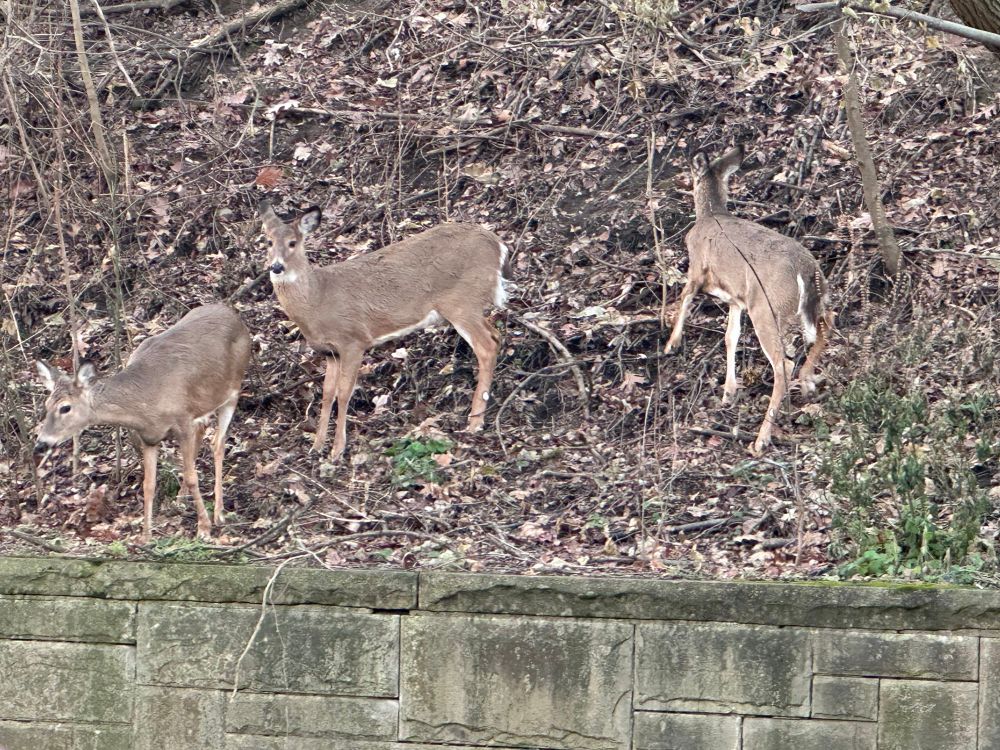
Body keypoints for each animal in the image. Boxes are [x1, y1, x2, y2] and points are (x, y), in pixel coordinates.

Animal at [33, 303, 252, 542]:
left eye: (65, 407)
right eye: (46, 404)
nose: (41, 443)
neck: (146, 401)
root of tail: (233, 315)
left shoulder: (183, 421)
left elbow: (192, 476)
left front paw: (203, 527)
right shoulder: (150, 437)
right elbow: (149, 484)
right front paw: (146, 536)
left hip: (232, 392)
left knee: (218, 445)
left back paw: (219, 513)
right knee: (204, 434)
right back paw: (181, 498)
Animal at [258, 201, 511, 458]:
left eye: (293, 242)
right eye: (268, 241)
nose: (276, 267)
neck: (317, 300)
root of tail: (498, 245)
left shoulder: (353, 339)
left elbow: (344, 392)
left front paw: (338, 449)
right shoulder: (330, 352)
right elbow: (327, 393)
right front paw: (317, 446)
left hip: (461, 302)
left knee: (487, 346)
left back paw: (475, 421)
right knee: (495, 336)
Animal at [664, 145, 834, 454]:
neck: (711, 214)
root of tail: (805, 268)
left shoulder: (697, 268)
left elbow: (684, 298)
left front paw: (672, 343)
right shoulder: (737, 299)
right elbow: (730, 336)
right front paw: (729, 391)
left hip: (767, 308)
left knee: (783, 364)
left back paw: (761, 438)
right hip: (813, 298)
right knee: (828, 321)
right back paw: (808, 381)